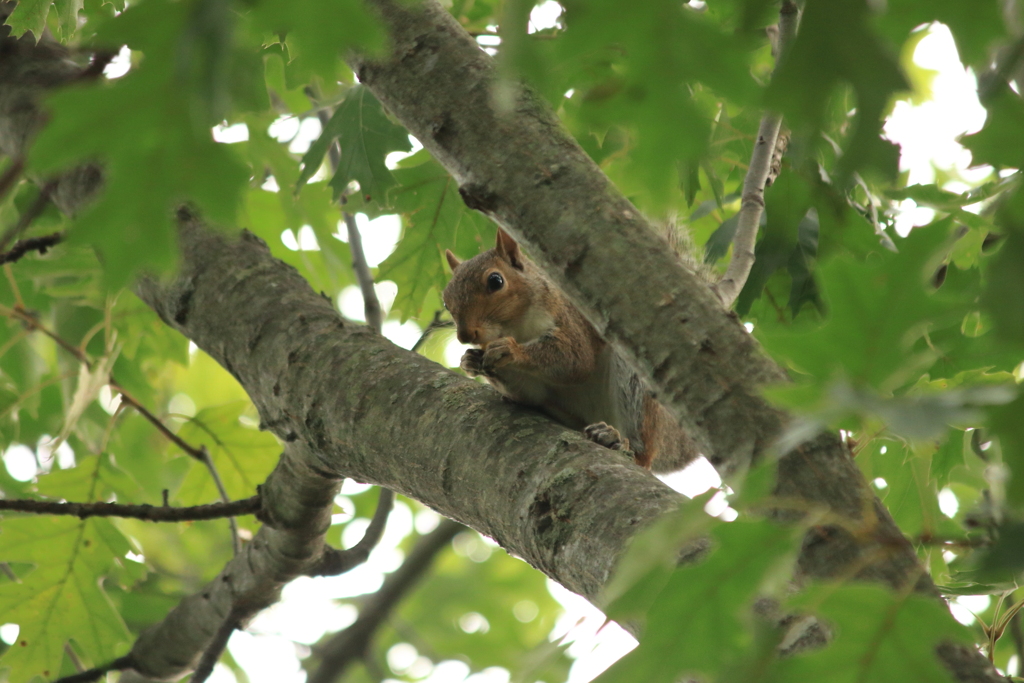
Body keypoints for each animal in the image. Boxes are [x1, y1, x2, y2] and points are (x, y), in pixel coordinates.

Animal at [444, 227, 700, 473]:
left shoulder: (569, 319)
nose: (465, 336)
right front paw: (470, 361)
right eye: (446, 300)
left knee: (643, 452)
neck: (516, 327)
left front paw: (511, 350)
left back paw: (617, 440)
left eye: (496, 281)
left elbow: (575, 360)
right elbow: (530, 393)